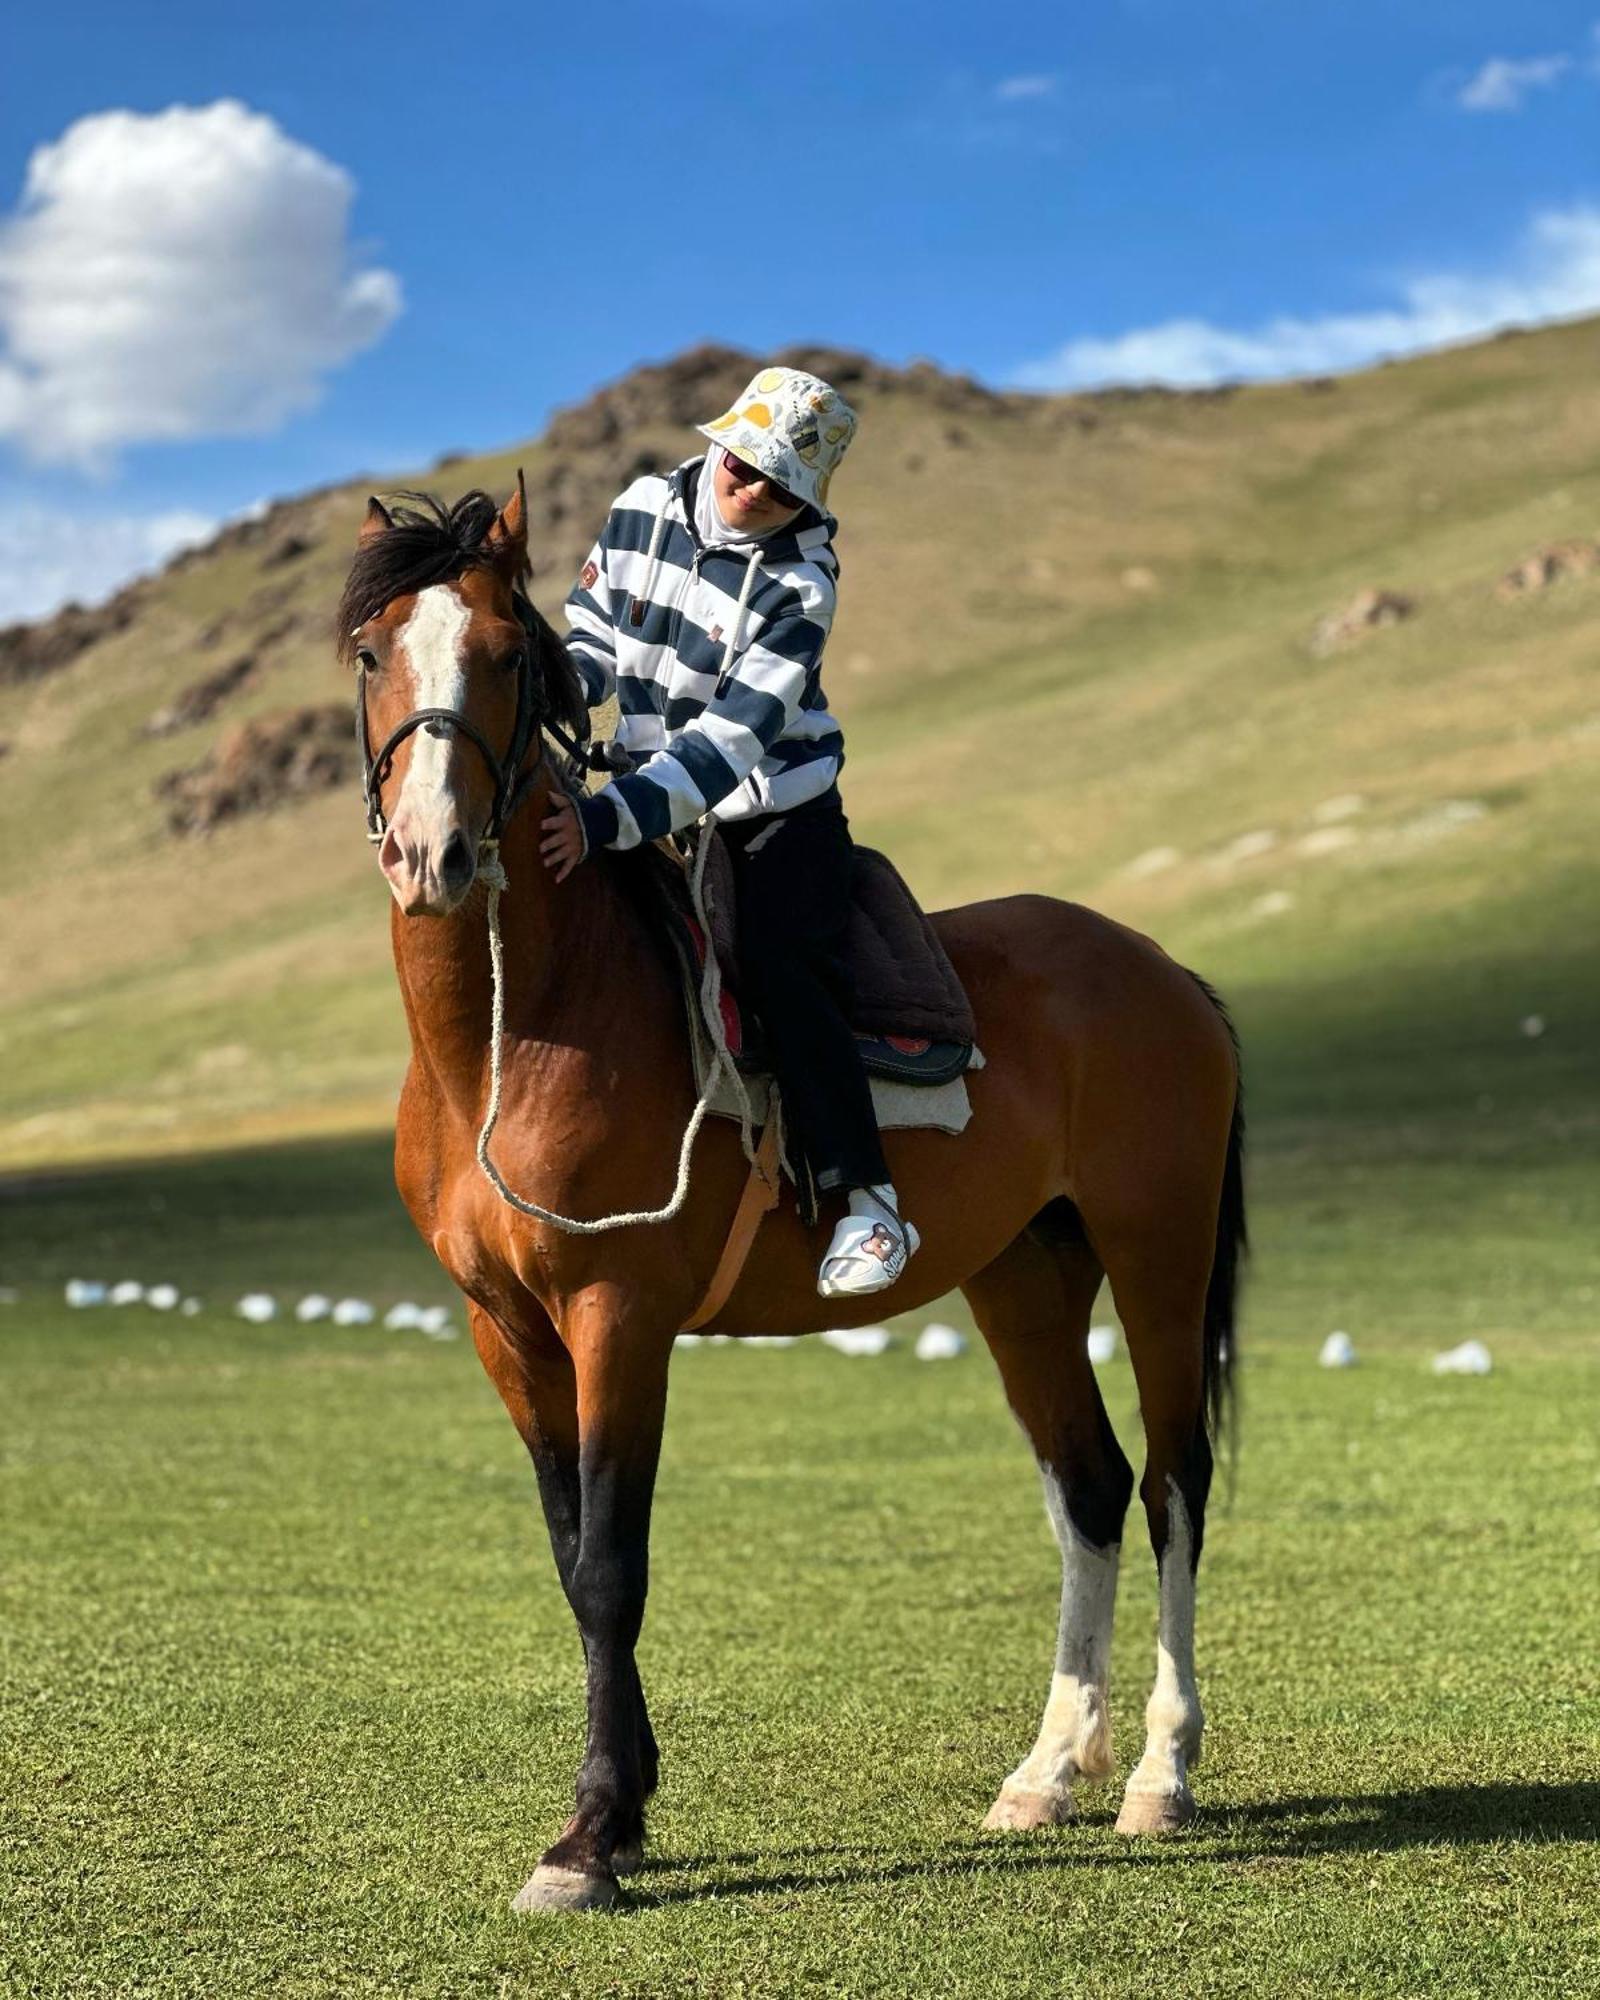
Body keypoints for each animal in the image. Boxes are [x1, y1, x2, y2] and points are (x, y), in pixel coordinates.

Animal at [340, 476, 1248, 1912]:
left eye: (504, 655)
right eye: (375, 651)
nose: (433, 852)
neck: (514, 1032)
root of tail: (1161, 969)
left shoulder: (618, 1318)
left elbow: (612, 1567)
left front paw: (588, 1838)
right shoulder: (506, 1331)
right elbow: (568, 1557)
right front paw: (626, 1810)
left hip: (1156, 1249)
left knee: (1171, 1483)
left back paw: (1160, 1776)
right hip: (1026, 1273)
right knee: (1091, 1485)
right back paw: (1045, 1773)